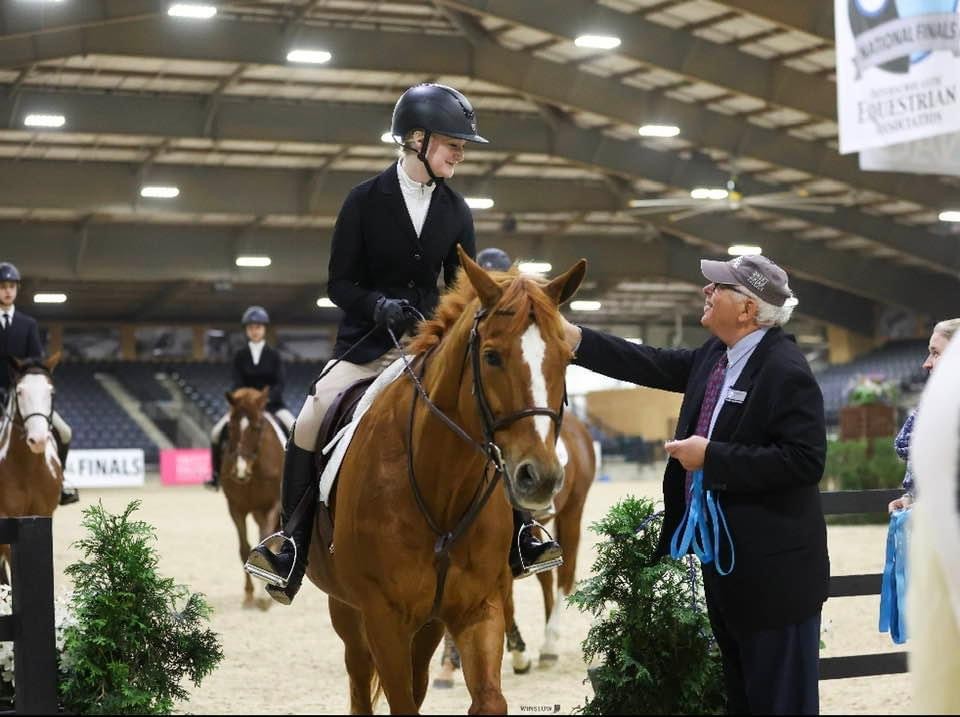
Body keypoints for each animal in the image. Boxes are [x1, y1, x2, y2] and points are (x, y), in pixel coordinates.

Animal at [0, 356, 62, 580]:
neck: (28, 470)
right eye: (19, 391)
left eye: (52, 392)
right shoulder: (8, 519)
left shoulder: (43, 514)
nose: (38, 440)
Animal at [223, 386, 284, 608]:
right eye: (230, 427)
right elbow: (244, 549)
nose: (240, 470)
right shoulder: (236, 508)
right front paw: (249, 595)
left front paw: (262, 597)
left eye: (257, 428)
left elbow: (265, 543)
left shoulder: (274, 505)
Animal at [308, 248, 584, 712]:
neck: (443, 493)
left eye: (566, 359)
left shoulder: (477, 608)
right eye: (491, 356)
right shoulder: (383, 616)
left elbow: (488, 699)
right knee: (361, 684)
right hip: (347, 610)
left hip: (430, 623)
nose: (540, 477)